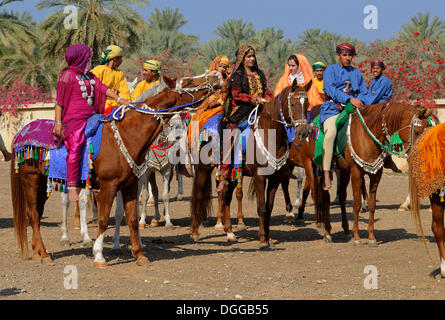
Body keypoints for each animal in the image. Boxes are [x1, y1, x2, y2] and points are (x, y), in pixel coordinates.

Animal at [11, 70, 224, 268]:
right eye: (189, 82)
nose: (216, 77)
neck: (128, 135)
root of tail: (21, 133)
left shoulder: (130, 185)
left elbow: (131, 218)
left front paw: (139, 255)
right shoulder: (108, 187)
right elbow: (104, 219)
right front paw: (99, 255)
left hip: (42, 182)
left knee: (36, 214)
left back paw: (39, 251)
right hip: (31, 179)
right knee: (34, 214)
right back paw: (47, 251)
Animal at [189, 80, 310, 245]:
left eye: (307, 104)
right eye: (292, 103)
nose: (302, 133)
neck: (270, 134)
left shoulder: (275, 177)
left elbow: (269, 207)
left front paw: (268, 236)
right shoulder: (259, 176)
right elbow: (261, 208)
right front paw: (263, 240)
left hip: (231, 173)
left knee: (226, 197)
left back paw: (230, 233)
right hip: (203, 169)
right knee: (198, 196)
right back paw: (195, 233)